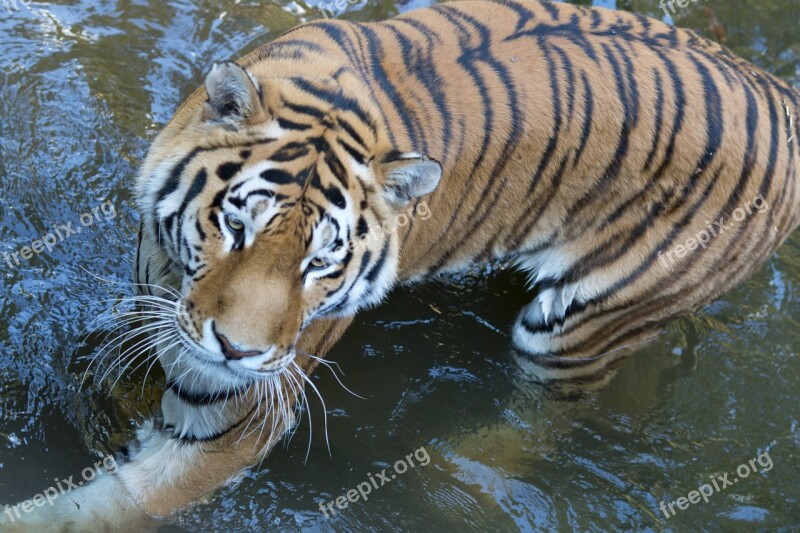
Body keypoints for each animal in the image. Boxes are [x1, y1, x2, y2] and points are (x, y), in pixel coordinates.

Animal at [3, 0, 796, 528]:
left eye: (319, 265)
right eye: (234, 225)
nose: (239, 351)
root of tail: (778, 92)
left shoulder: (238, 414)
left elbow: (107, 503)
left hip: (581, 321)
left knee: (552, 415)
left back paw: (458, 472)